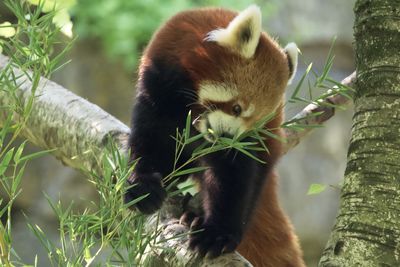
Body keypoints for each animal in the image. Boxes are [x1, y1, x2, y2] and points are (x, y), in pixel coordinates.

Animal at [126, 4, 306, 267]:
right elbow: (149, 136)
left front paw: (217, 234)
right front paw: (143, 186)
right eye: (237, 108)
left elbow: (232, 174)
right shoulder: (158, 79)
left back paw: (196, 216)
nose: (228, 137)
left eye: (256, 124)